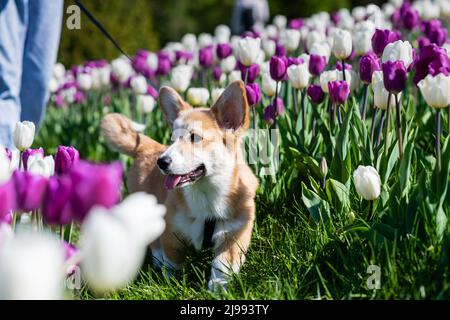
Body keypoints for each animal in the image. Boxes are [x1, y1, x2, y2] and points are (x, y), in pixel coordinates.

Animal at [101, 80, 256, 290]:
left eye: (194, 138)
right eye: (172, 139)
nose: (161, 162)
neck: (206, 193)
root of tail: (145, 145)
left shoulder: (235, 233)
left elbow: (222, 266)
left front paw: (218, 289)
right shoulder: (171, 230)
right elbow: (173, 263)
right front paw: (171, 283)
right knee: (154, 241)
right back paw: (157, 259)